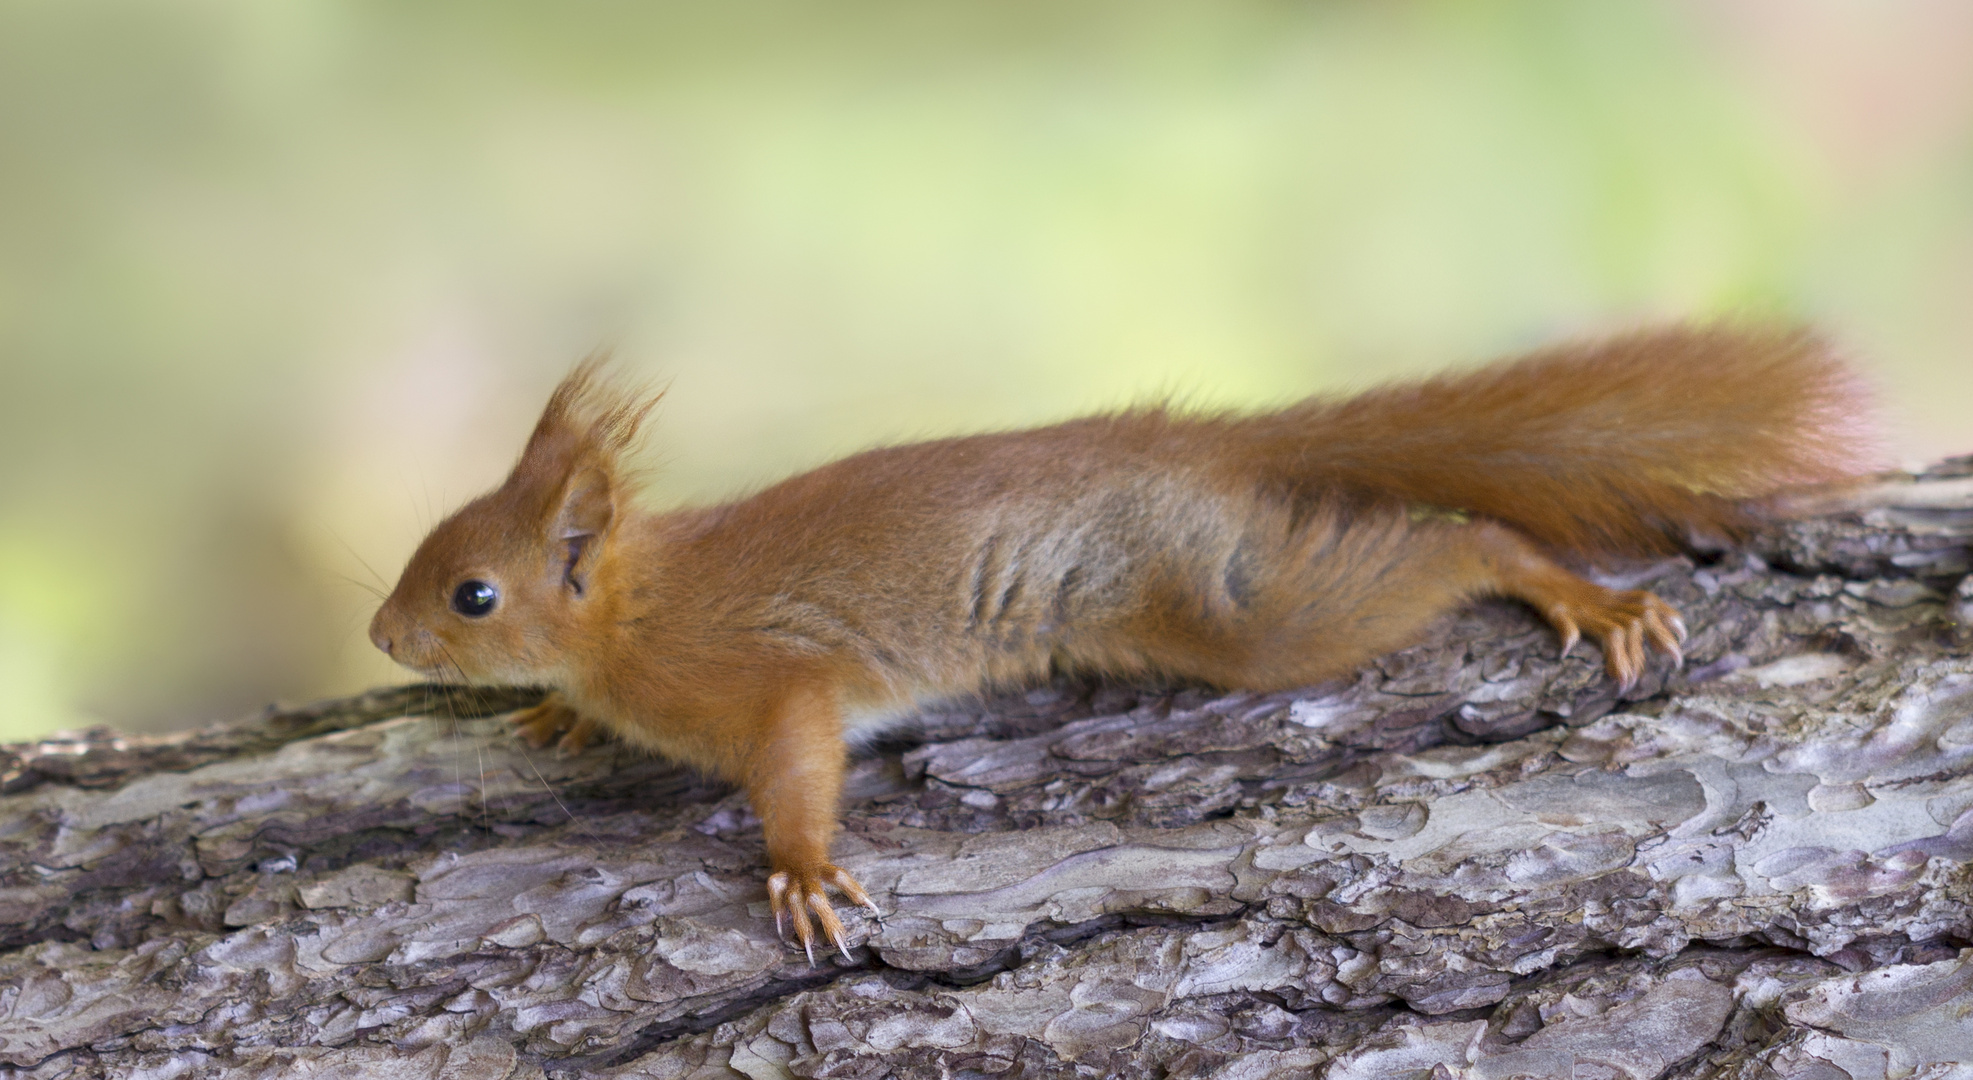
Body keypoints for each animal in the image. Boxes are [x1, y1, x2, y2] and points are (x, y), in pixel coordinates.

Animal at [366, 325, 1862, 959]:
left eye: (472, 595)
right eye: (423, 549)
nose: (379, 634)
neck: (630, 612)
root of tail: (1182, 444)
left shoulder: (763, 679)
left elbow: (794, 763)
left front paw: (796, 874)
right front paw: (559, 715)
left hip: (1229, 601)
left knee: (1454, 547)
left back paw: (1573, 592)